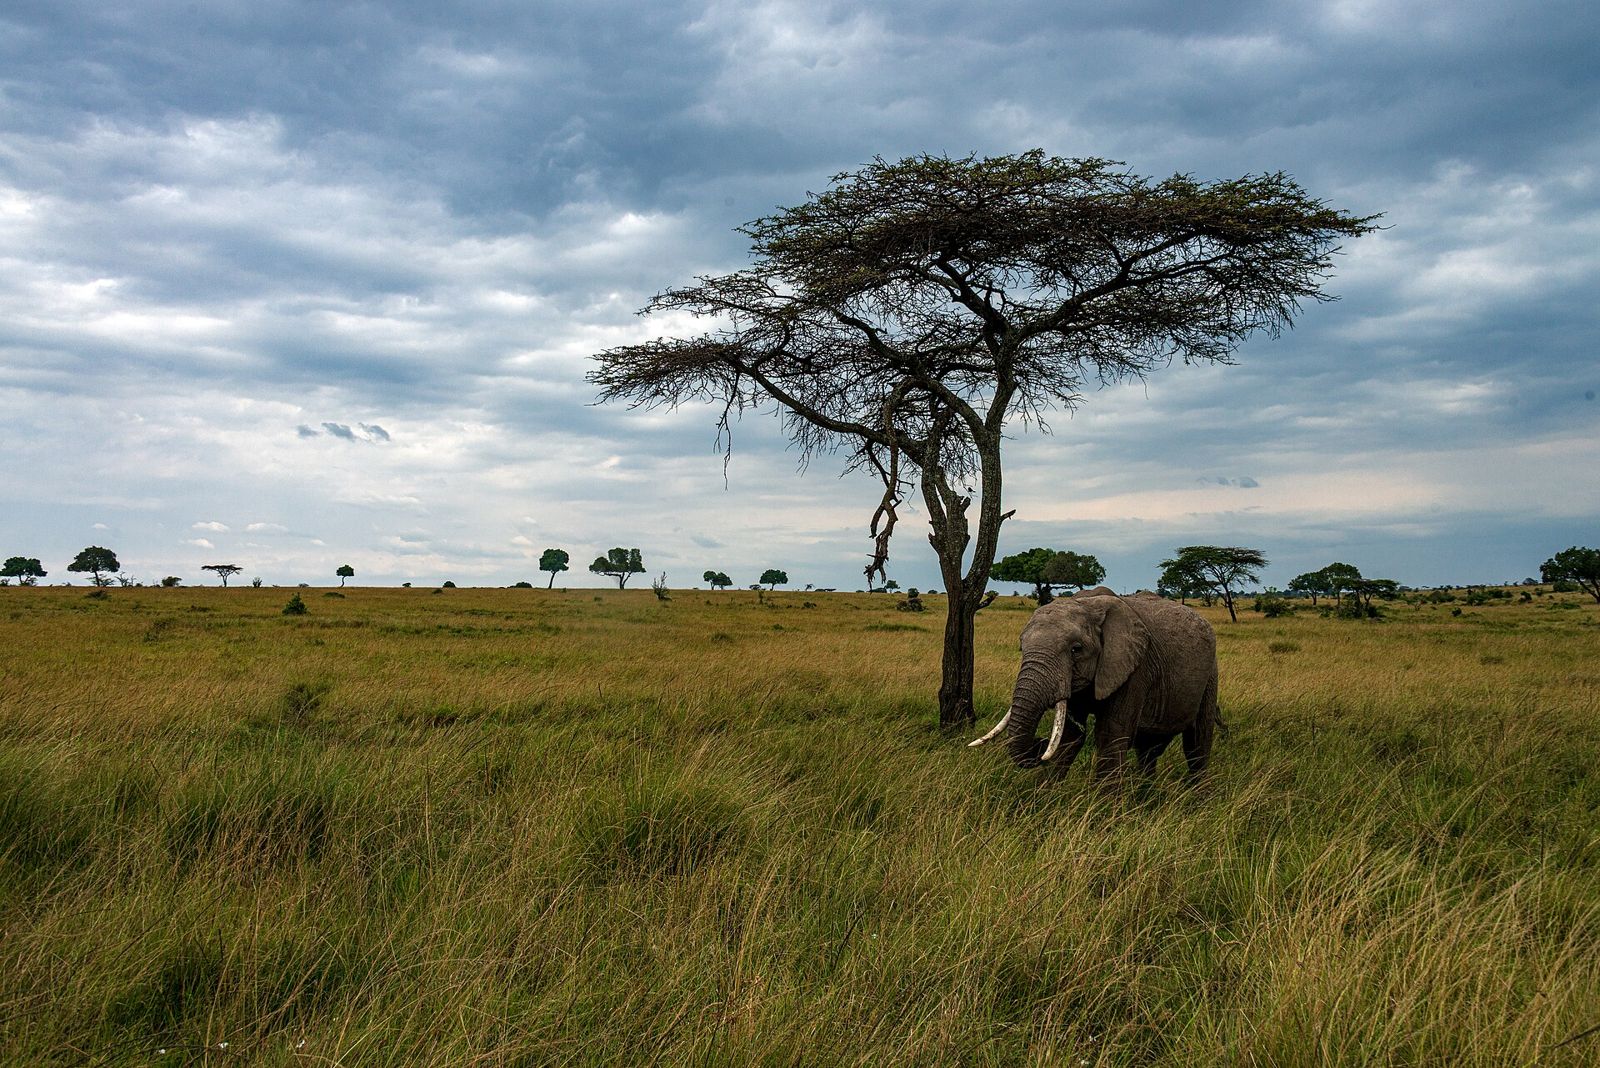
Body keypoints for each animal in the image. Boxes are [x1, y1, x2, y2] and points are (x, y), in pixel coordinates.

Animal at [969, 586, 1219, 781]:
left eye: (1076, 650)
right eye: (1021, 648)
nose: (1039, 743)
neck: (1087, 604)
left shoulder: (1134, 669)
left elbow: (1110, 735)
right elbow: (1070, 737)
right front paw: (1046, 798)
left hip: (1210, 675)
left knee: (1197, 743)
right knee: (1149, 749)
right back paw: (1145, 796)